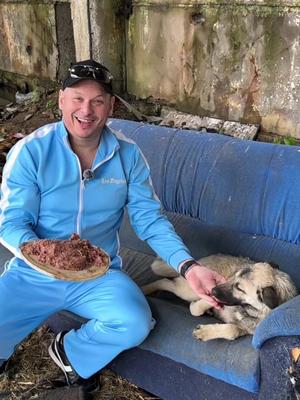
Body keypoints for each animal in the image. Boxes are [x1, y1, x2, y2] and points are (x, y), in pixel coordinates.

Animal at [143, 255, 298, 342]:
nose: (212, 290)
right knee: (165, 281)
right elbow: (197, 308)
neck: (250, 310)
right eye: (234, 276)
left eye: (240, 288)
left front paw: (205, 332)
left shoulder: (244, 329)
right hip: (187, 290)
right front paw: (199, 307)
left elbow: (231, 330)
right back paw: (145, 288)